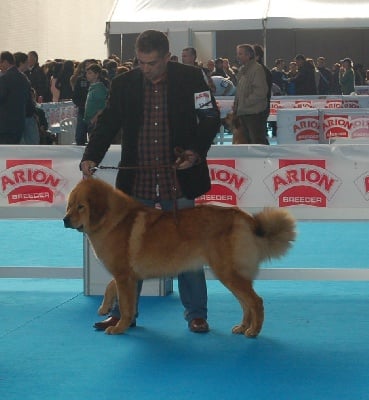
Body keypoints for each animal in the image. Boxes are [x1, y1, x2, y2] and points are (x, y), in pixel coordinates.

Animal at [62, 178, 294, 338]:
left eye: (81, 206)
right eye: (69, 205)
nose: (64, 220)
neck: (113, 220)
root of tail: (244, 217)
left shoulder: (124, 275)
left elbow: (127, 306)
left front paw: (119, 327)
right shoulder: (127, 275)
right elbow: (112, 288)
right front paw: (106, 308)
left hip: (227, 272)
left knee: (255, 301)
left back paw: (253, 331)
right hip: (230, 274)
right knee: (245, 302)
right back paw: (242, 327)